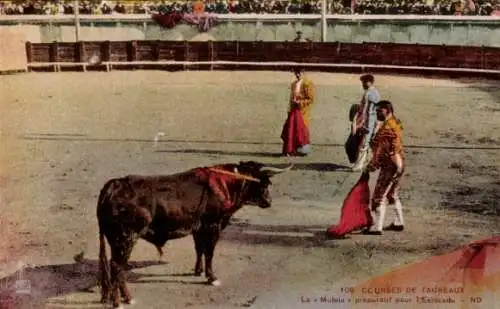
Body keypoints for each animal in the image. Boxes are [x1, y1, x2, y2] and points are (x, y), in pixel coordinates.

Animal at [95, 160, 292, 306]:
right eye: (264, 182)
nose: (269, 201)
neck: (224, 184)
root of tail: (114, 185)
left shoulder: (198, 228)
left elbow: (200, 250)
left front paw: (198, 271)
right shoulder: (213, 226)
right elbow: (209, 253)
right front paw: (212, 277)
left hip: (115, 239)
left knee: (115, 266)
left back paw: (124, 298)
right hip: (126, 238)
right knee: (117, 267)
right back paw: (121, 301)